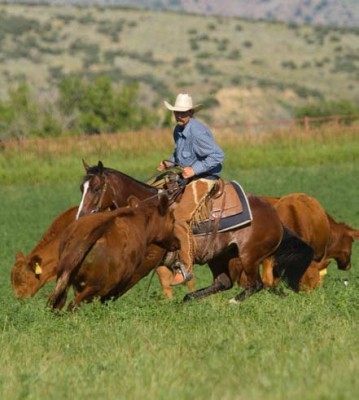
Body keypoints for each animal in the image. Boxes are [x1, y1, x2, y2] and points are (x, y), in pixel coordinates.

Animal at [47, 192, 179, 310]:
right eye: (172, 220)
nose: (177, 242)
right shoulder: (123, 281)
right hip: (99, 286)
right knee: (73, 304)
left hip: (67, 278)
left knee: (57, 304)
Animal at [74, 161, 314, 302]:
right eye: (81, 188)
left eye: (96, 188)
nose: (81, 218)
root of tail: (275, 218)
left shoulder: (148, 259)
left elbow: (123, 281)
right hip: (219, 256)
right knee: (223, 282)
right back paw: (189, 299)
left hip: (249, 255)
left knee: (255, 284)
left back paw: (233, 302)